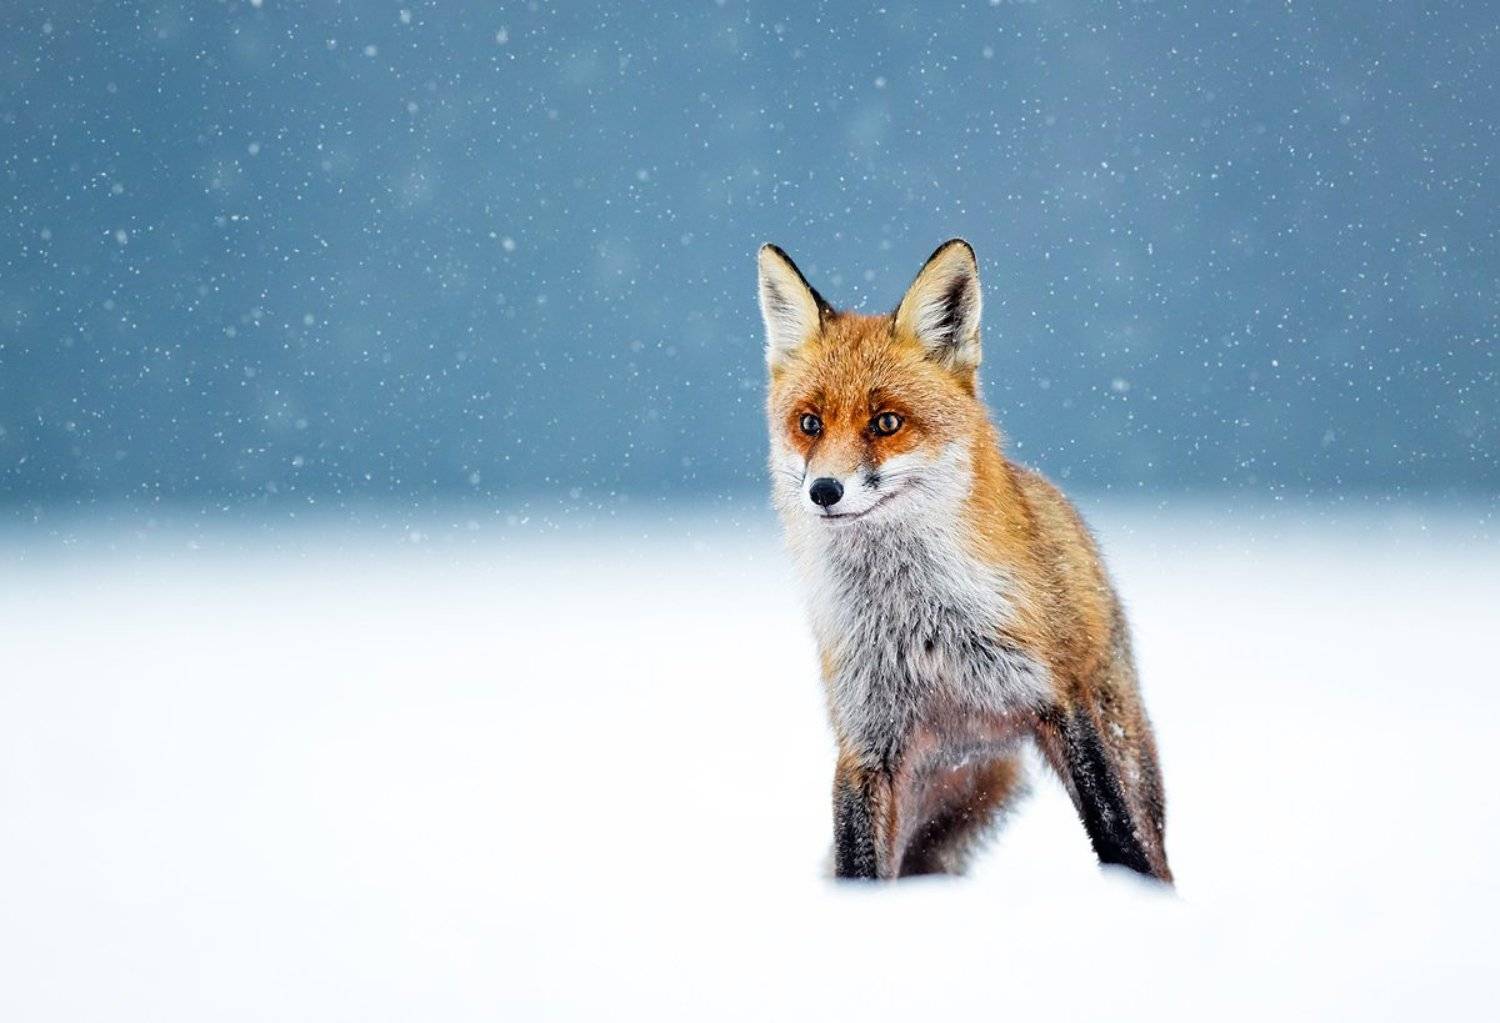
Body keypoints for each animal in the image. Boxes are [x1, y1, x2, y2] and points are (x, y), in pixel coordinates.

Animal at [758, 239, 1173, 883]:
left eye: (886, 422)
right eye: (809, 423)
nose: (824, 491)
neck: (917, 621)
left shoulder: (1061, 702)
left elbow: (1118, 835)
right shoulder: (864, 743)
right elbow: (857, 868)